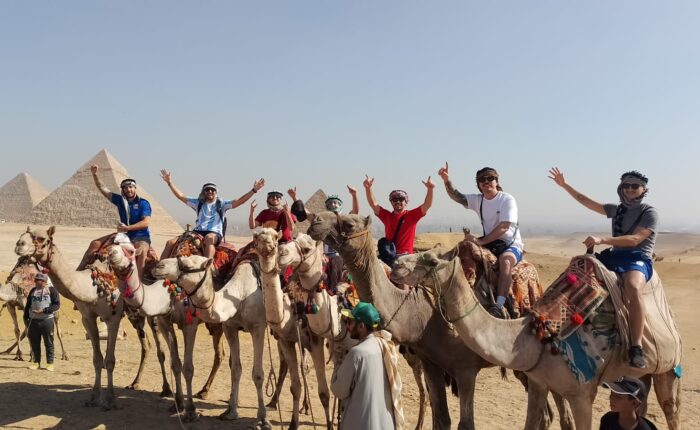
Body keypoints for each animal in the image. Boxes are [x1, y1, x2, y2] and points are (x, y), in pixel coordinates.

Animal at [254, 227, 334, 428]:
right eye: (257, 236)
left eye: (275, 237)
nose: (277, 250)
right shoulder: (286, 339)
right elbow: (295, 386)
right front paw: (292, 424)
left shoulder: (315, 341)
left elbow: (324, 392)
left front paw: (329, 425)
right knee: (294, 366)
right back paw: (280, 402)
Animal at [278, 233, 430, 428]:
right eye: (294, 238)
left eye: (307, 248)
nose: (282, 251)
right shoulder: (334, 347)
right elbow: (333, 392)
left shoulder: (354, 347)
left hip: (414, 348)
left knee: (425, 387)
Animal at [306, 213, 568, 430]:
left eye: (349, 223)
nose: (315, 221)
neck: (419, 314)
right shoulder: (430, 360)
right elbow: (442, 419)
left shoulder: (465, 368)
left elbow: (465, 424)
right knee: (548, 413)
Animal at [394, 249, 684, 430]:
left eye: (432, 261)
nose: (396, 264)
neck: (535, 338)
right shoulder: (538, 382)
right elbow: (534, 422)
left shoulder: (582, 394)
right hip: (640, 375)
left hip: (668, 367)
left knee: (671, 411)